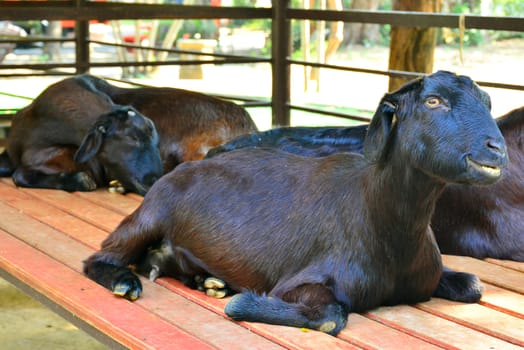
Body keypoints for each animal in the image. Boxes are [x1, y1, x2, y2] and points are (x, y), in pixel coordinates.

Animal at [83, 72, 508, 336]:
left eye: (487, 101)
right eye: (433, 101)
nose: (497, 149)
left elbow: (473, 285)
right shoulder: (305, 280)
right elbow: (331, 317)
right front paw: (242, 304)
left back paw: (206, 280)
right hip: (150, 214)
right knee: (99, 257)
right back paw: (125, 282)